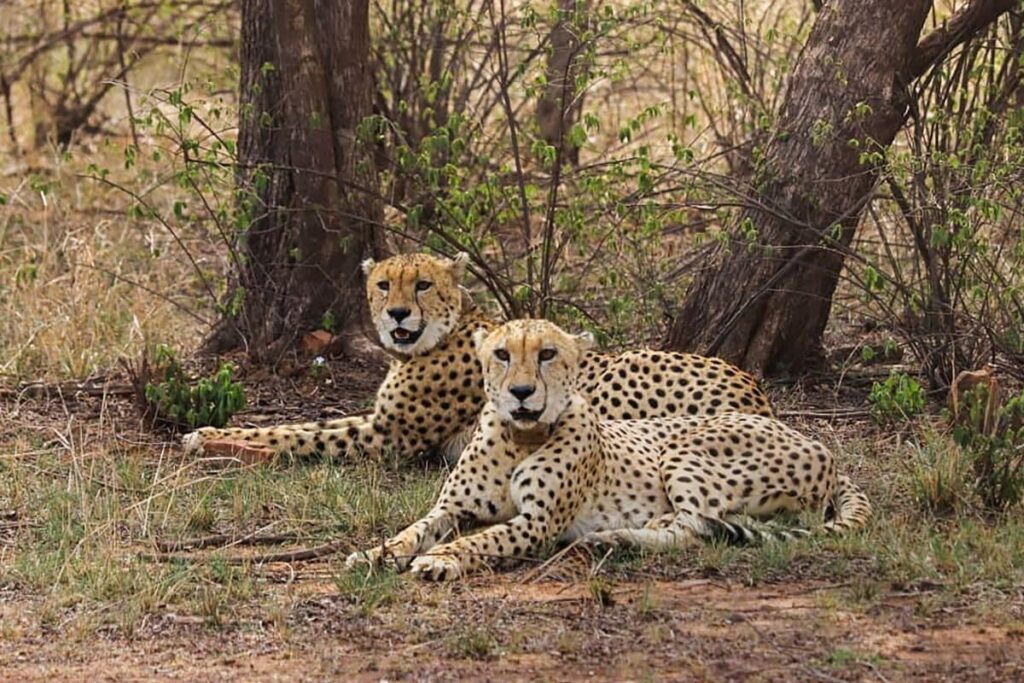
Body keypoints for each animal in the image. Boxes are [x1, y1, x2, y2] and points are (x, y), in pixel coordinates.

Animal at [182, 252, 774, 464]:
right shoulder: (380, 421)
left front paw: (214, 440)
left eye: (421, 284)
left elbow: (298, 435)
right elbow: (303, 423)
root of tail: (755, 389)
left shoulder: (391, 437)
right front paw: (211, 432)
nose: (397, 314)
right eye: (383, 284)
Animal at [346, 318, 871, 582]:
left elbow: (483, 539)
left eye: (547, 354)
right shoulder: (452, 507)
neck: (520, 437)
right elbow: (413, 530)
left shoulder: (538, 522)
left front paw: (441, 559)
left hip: (682, 449)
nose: (521, 393)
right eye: (501, 354)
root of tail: (818, 445)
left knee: (696, 527)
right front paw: (376, 553)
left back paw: (618, 537)